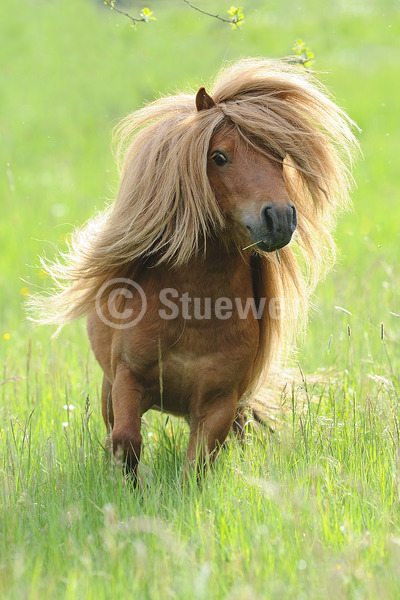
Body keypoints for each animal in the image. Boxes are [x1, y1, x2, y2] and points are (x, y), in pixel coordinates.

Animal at [30, 56, 356, 478]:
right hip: (107, 389)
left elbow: (196, 466)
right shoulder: (127, 381)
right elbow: (126, 442)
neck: (194, 310)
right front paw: (133, 486)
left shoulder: (218, 403)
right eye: (219, 156)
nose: (280, 219)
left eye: (280, 157)